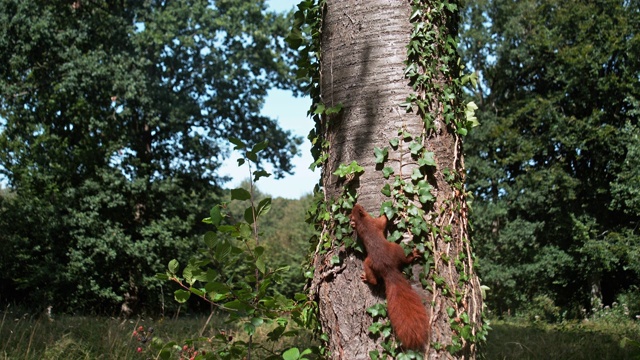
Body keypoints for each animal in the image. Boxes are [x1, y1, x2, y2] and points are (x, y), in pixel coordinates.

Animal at [350, 204, 430, 350]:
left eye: (356, 209)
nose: (357, 204)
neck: (362, 221)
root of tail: (388, 270)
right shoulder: (375, 223)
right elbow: (383, 220)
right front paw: (389, 208)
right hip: (395, 249)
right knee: (379, 277)